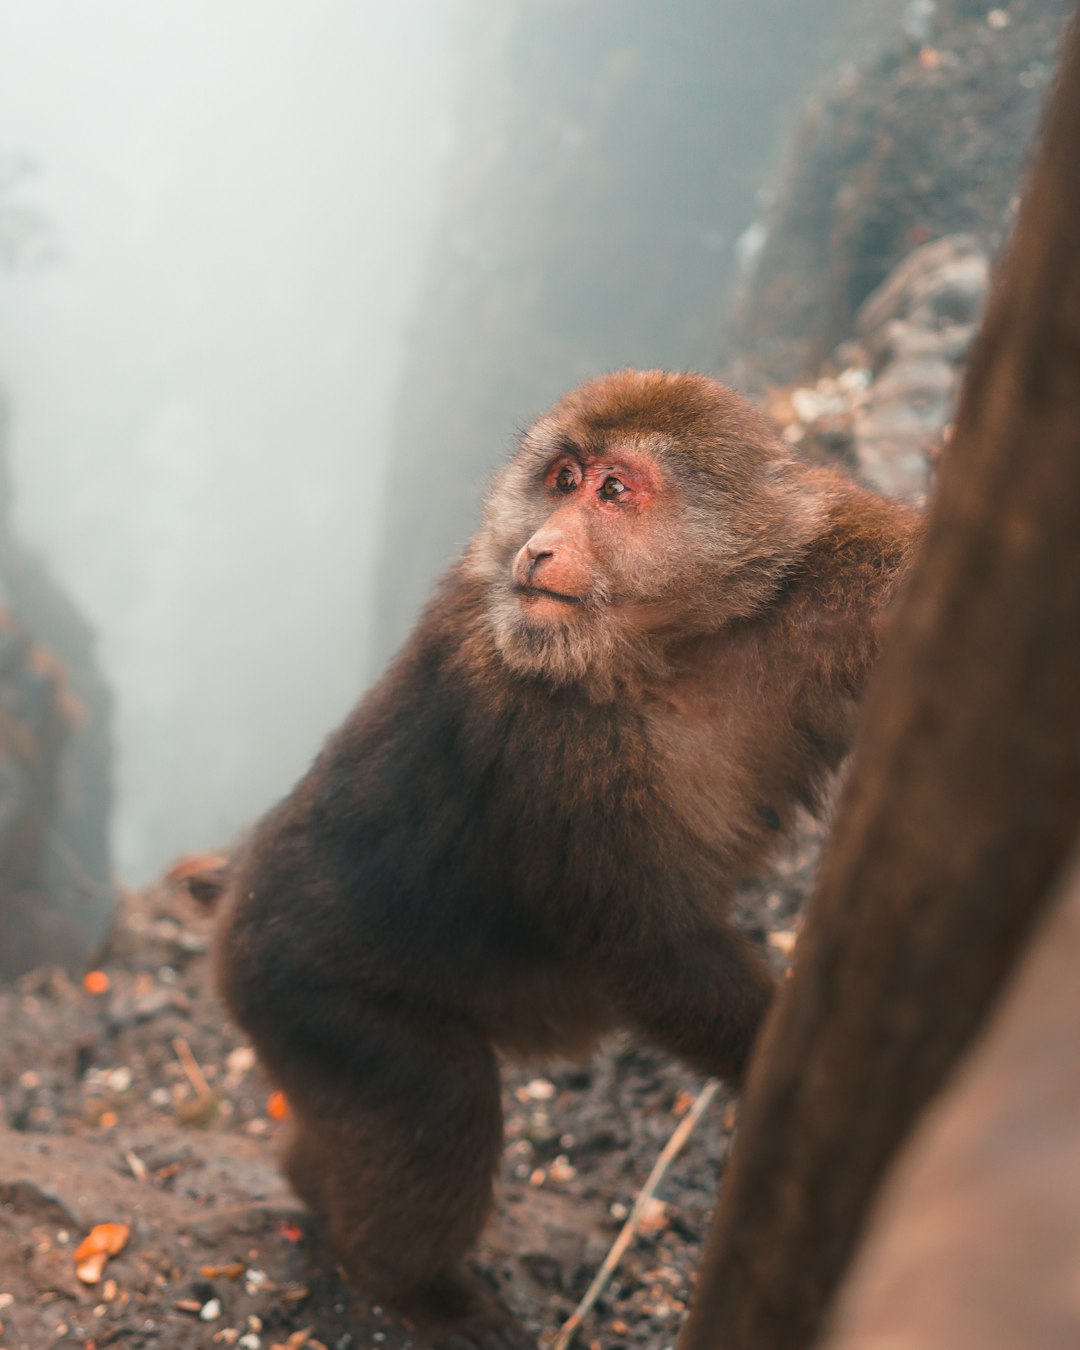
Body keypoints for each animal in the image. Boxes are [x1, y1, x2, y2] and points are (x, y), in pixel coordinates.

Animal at [214, 369, 923, 1350]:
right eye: (560, 480)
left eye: (612, 491)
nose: (540, 545)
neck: (671, 649)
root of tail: (230, 926)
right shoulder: (544, 739)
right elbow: (645, 951)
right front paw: (785, 1076)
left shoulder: (817, 575)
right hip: (305, 1002)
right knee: (440, 1105)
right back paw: (410, 1286)